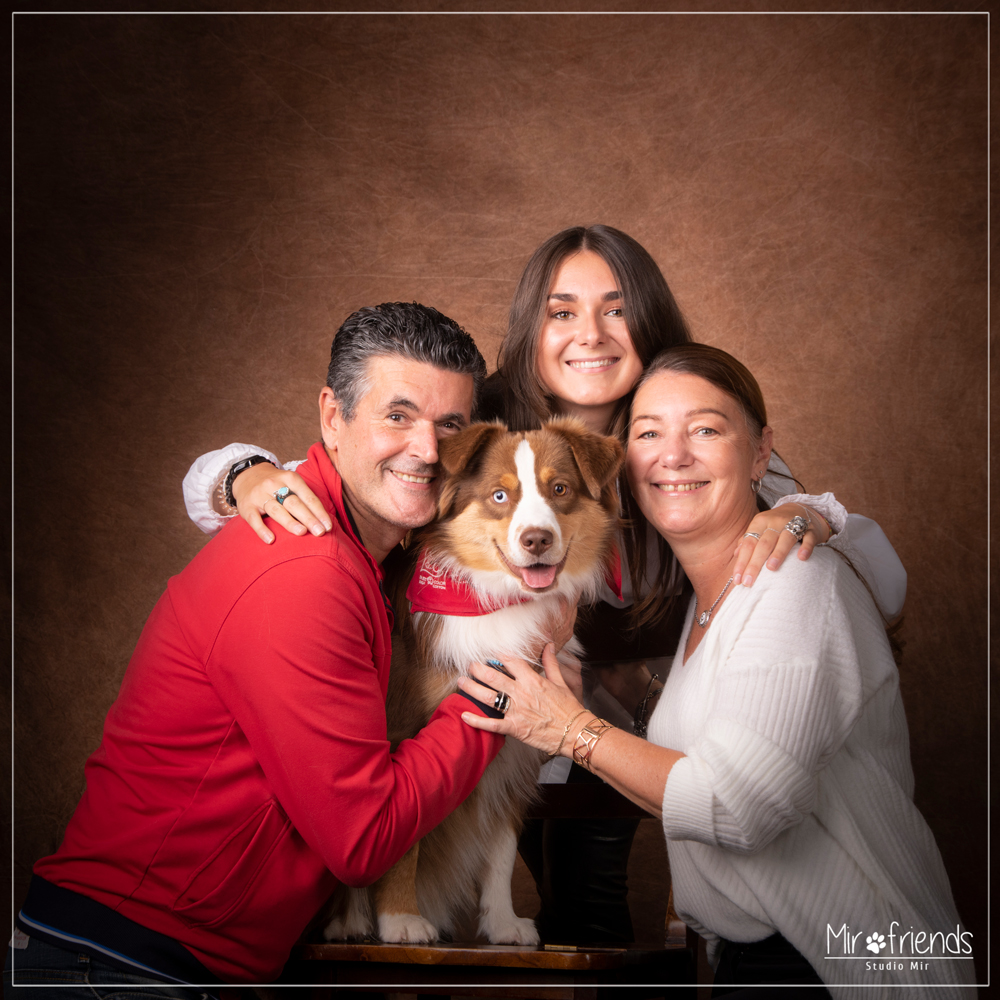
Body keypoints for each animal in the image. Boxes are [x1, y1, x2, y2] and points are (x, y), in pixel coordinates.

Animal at [326, 420, 624, 944]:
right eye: (499, 495)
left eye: (559, 490)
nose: (537, 539)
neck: (502, 603)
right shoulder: (401, 734)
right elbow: (403, 836)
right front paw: (400, 919)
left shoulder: (514, 752)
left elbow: (500, 848)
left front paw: (503, 922)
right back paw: (350, 920)